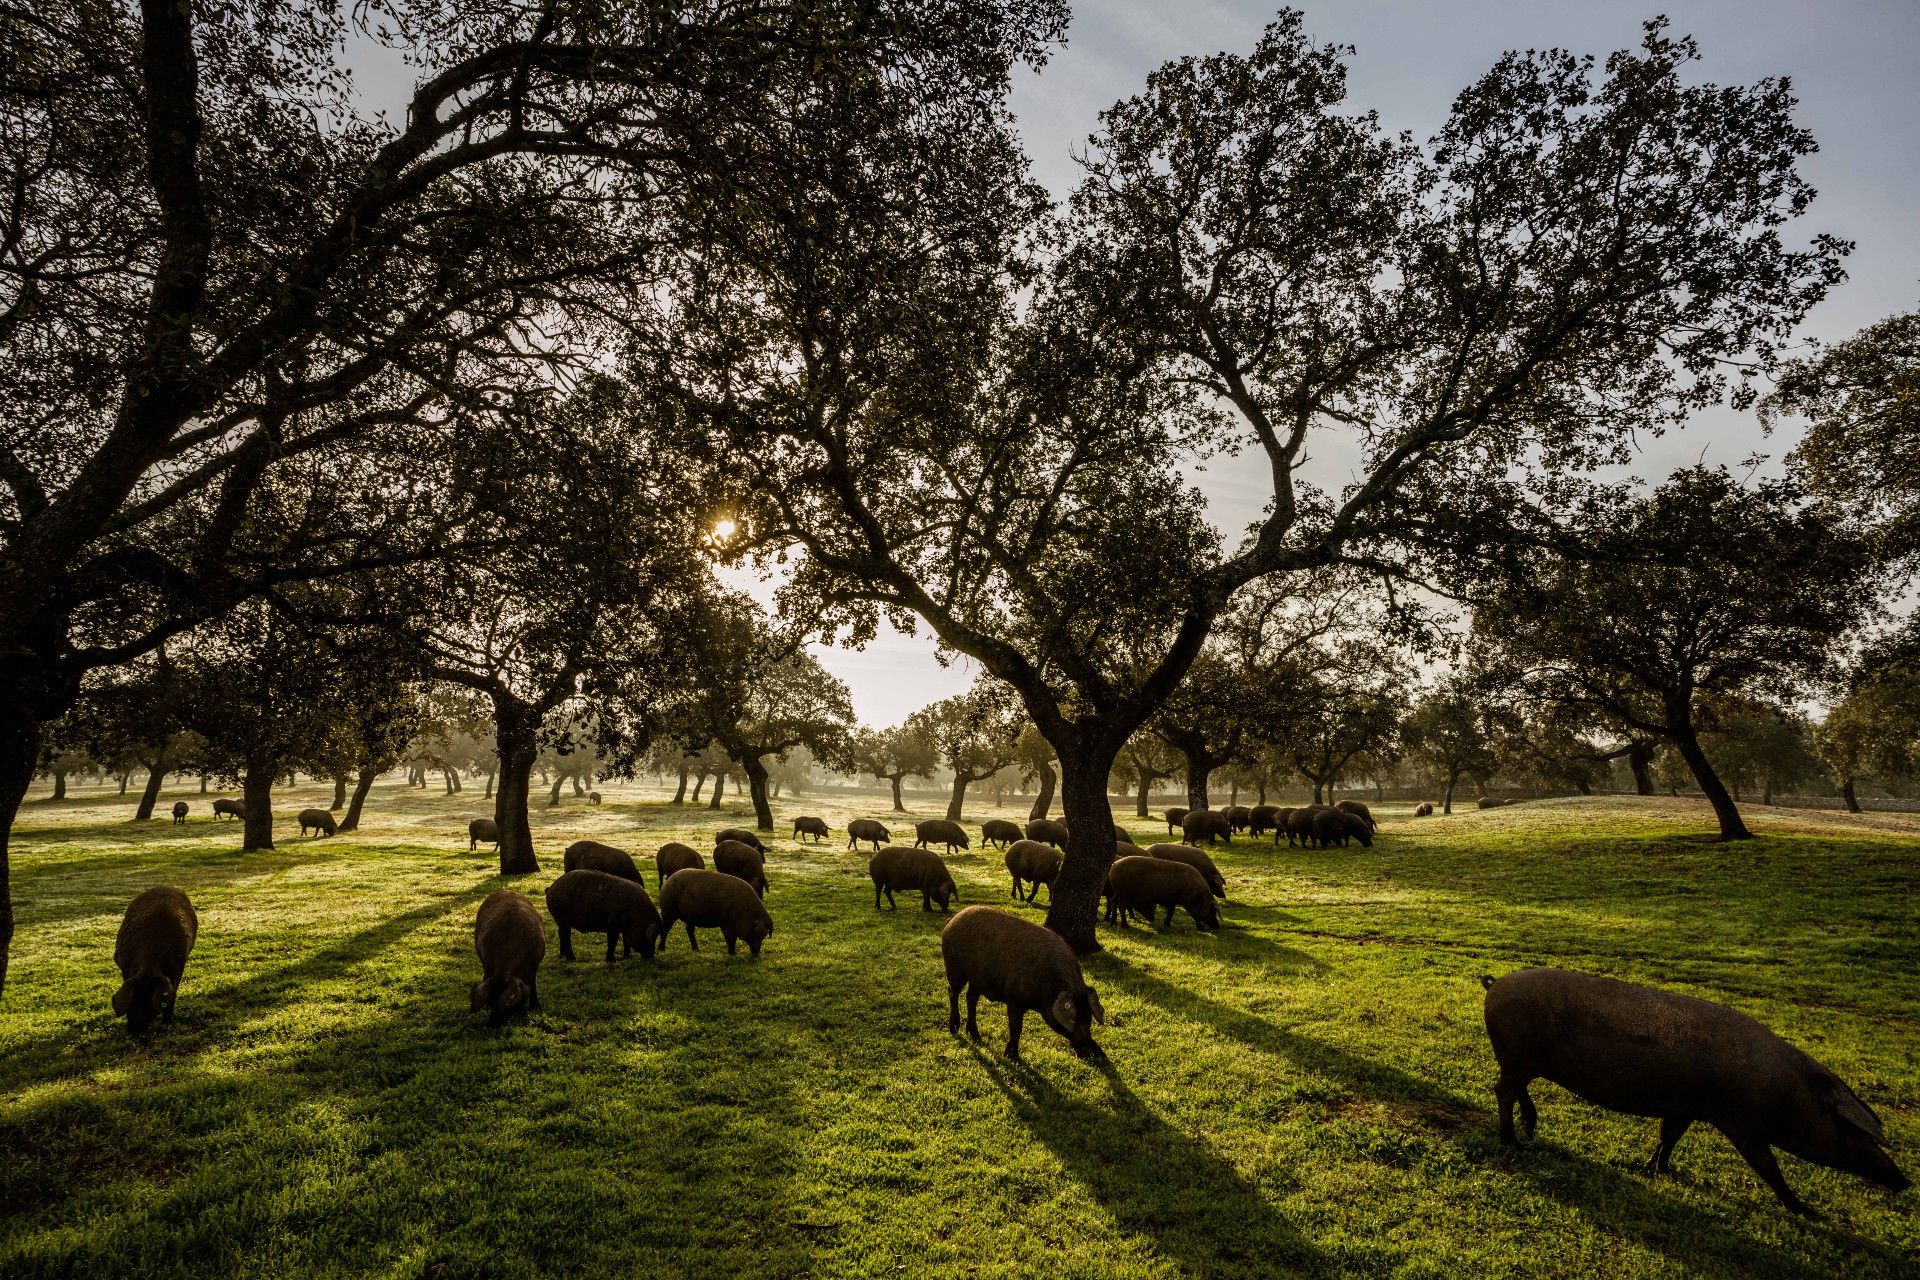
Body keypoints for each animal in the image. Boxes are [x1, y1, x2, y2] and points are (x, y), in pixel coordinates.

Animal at [111, 886, 197, 1036]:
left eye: (149, 1002)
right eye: (134, 999)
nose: (135, 1031)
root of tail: (165, 886)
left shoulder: (178, 965)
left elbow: (173, 993)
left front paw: (167, 1024)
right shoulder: (124, 965)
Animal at [468, 898, 545, 1028]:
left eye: (508, 1006)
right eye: (490, 1002)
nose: (492, 1024)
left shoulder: (535, 964)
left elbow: (533, 984)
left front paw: (535, 1008)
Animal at [936, 909, 1105, 1059]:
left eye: (1088, 1019)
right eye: (1072, 1019)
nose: (1089, 1050)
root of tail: (951, 920)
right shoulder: (1014, 999)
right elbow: (1016, 1028)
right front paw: (1013, 1057)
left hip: (977, 978)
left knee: (971, 998)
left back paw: (976, 1036)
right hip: (954, 967)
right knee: (952, 992)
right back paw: (954, 1029)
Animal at [1482, 974, 1904, 1220]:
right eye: (1854, 1130)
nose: (1903, 1181)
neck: (1787, 1095)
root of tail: (1494, 984)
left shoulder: (1685, 1106)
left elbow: (1669, 1136)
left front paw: (1659, 1169)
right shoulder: (1740, 1121)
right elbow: (1767, 1166)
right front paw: (1809, 1213)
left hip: (1523, 1059)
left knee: (1515, 1089)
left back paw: (1530, 1130)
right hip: (1518, 1055)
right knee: (1502, 1090)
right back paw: (1512, 1142)